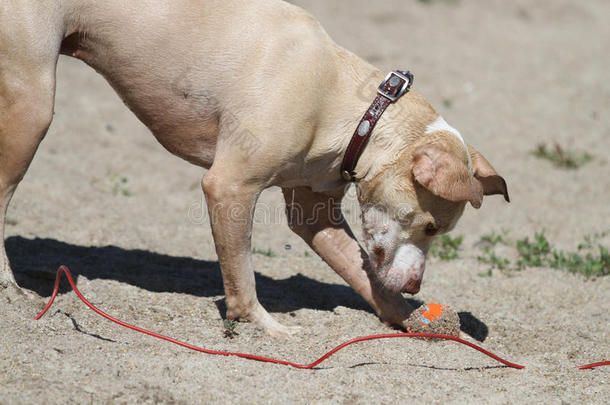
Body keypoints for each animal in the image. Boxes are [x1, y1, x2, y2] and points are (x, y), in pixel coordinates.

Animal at [0, 0, 504, 334]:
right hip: (32, 106)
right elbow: (241, 271)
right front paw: (265, 327)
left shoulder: (315, 213)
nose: (417, 286)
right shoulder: (229, 187)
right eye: (432, 227)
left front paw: (412, 319)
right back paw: (12, 294)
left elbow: (366, 276)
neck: (354, 108)